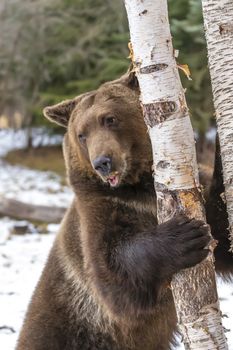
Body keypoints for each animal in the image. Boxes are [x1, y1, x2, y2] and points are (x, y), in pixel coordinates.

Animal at [16, 73, 233, 350]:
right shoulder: (100, 212)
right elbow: (112, 272)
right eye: (81, 135)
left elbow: (222, 230)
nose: (102, 162)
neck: (140, 188)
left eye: (110, 119)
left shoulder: (196, 193)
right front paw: (185, 235)